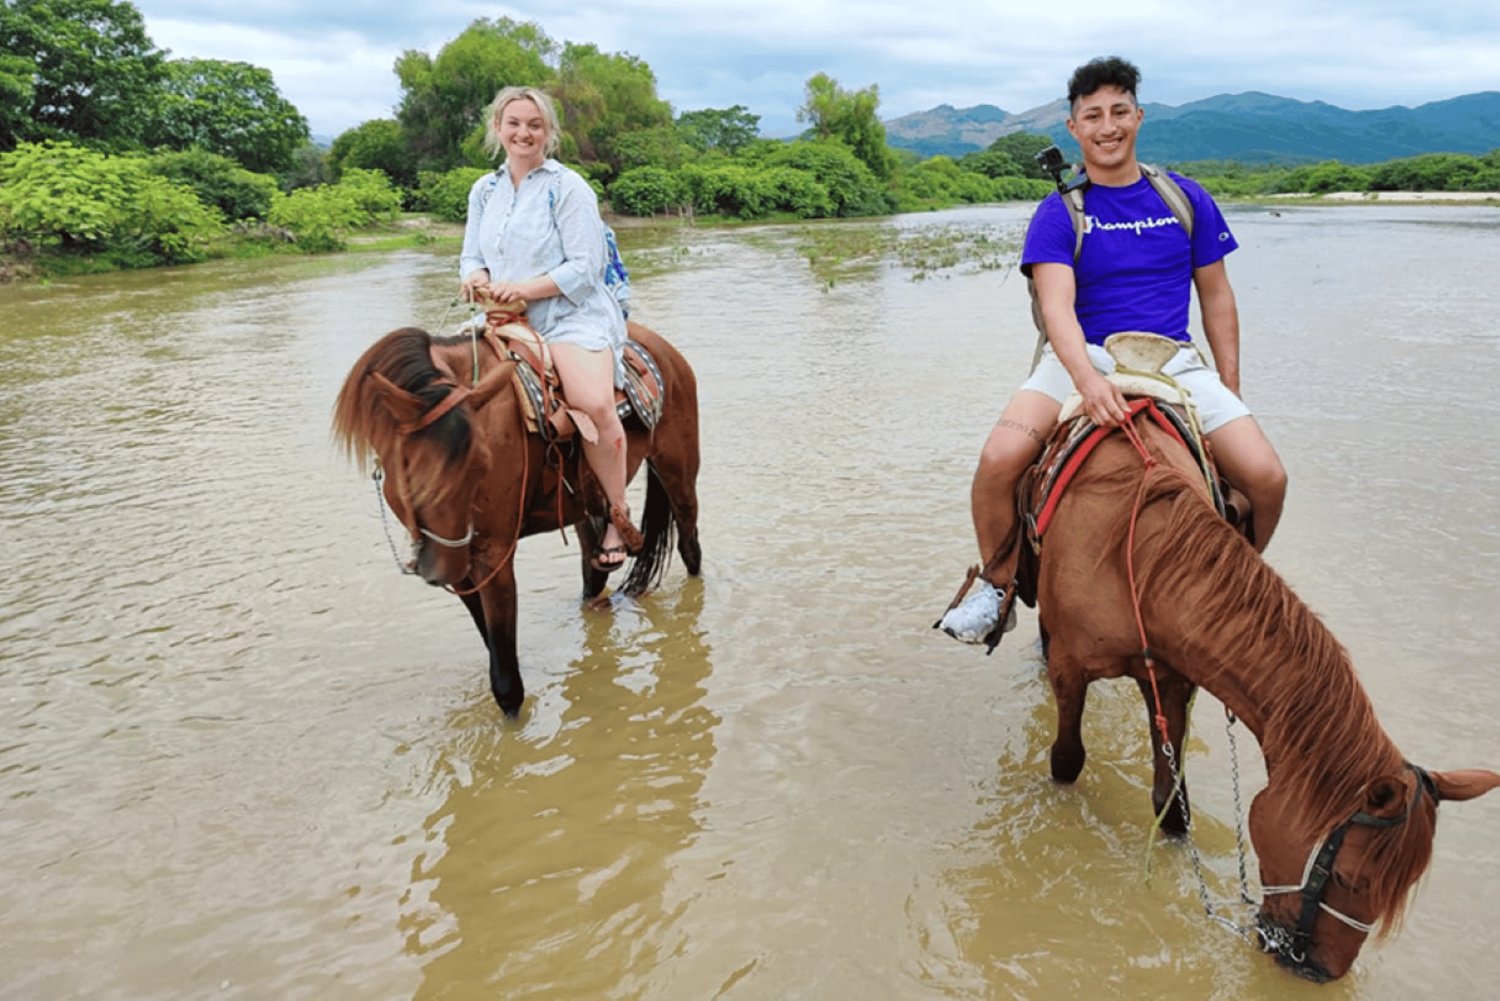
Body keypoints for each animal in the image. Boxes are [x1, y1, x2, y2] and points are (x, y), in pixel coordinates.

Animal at [331, 321, 699, 720]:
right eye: (410, 472)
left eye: (481, 464)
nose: (439, 569)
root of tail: (663, 348)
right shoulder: (463, 568)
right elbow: (492, 644)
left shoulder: (493, 557)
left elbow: (506, 676)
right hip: (585, 509)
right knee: (593, 572)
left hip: (678, 470)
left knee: (690, 547)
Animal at [1008, 396, 1500, 978]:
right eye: (1350, 879)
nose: (1321, 971)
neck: (1134, 552)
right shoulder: (1070, 669)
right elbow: (1066, 760)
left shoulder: (1172, 679)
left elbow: (1172, 804)